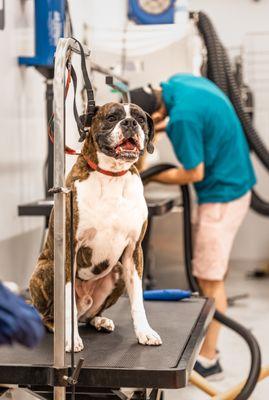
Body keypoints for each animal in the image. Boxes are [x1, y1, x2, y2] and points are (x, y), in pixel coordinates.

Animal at [30, 101, 162, 352]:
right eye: (111, 118)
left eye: (140, 119)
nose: (130, 123)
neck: (112, 175)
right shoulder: (69, 249)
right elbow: (67, 302)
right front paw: (71, 339)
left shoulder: (133, 251)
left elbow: (138, 300)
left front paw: (144, 332)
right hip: (48, 269)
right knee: (51, 316)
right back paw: (58, 329)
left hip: (118, 271)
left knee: (88, 316)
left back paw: (99, 320)